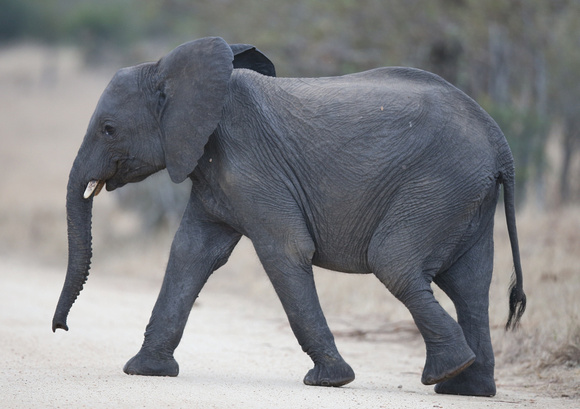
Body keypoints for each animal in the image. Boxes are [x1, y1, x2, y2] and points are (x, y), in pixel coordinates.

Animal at [52, 37, 528, 396]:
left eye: (108, 130)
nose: (61, 329)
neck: (175, 70)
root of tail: (499, 142)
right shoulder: (215, 173)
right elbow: (191, 253)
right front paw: (144, 371)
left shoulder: (250, 165)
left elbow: (284, 251)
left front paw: (330, 381)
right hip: (464, 195)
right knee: (470, 284)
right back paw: (467, 389)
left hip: (438, 184)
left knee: (394, 262)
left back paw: (446, 373)